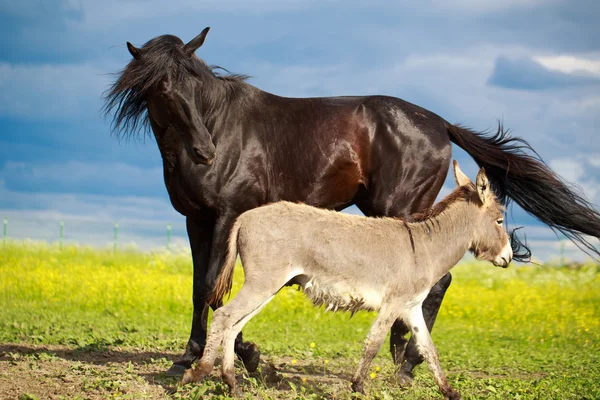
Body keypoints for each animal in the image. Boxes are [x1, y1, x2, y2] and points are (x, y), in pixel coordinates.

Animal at [180, 161, 512, 398]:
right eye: (499, 220)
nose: (509, 258)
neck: (425, 248)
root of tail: (244, 217)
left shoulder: (412, 307)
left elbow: (429, 347)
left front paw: (449, 391)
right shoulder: (393, 304)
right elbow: (373, 343)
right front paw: (358, 386)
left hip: (267, 286)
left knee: (235, 324)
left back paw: (231, 384)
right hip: (263, 283)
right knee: (224, 316)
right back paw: (198, 373)